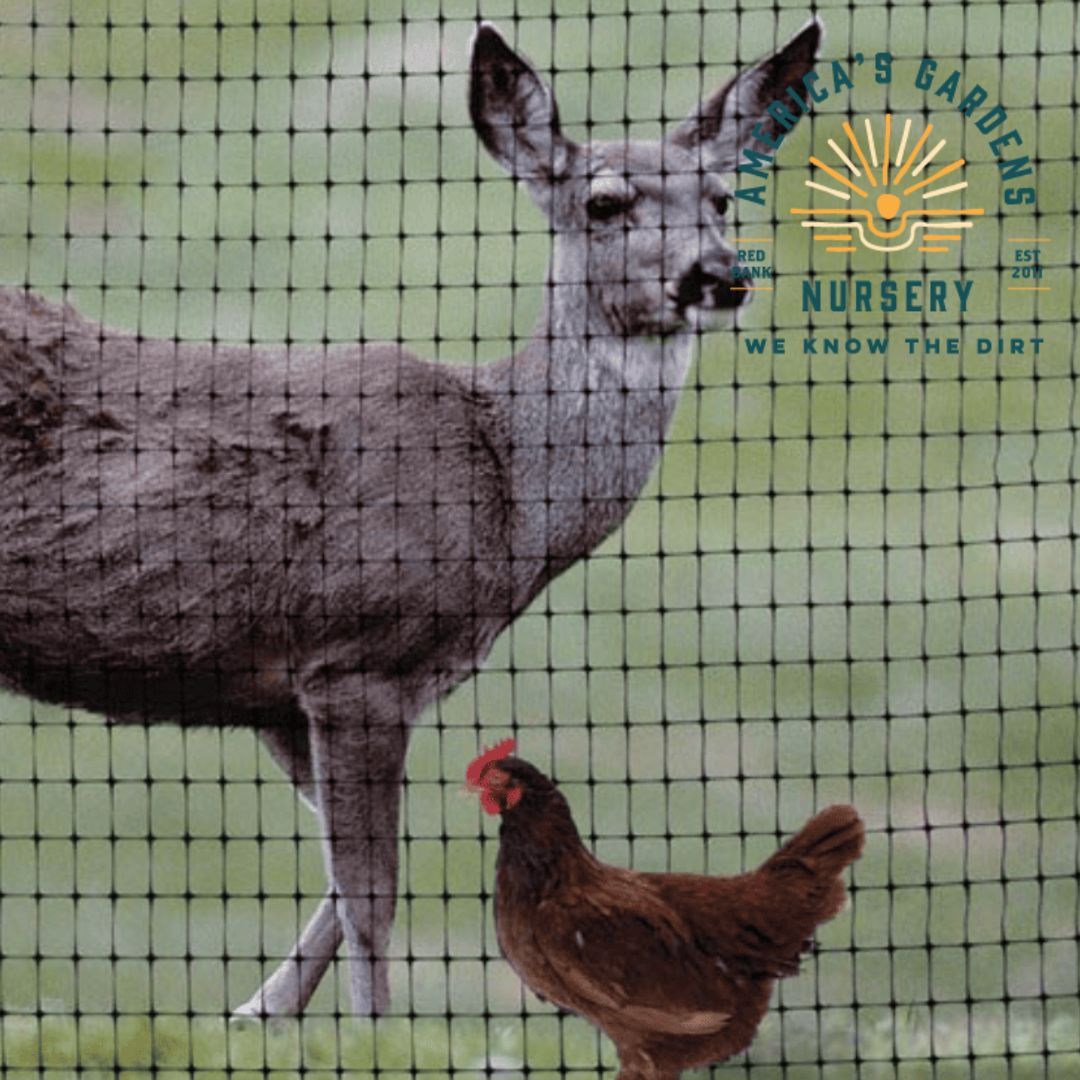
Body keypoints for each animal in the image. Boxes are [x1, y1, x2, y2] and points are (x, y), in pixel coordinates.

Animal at [0, 20, 820, 1017]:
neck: (509, 490)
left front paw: (257, 1014)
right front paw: (366, 1030)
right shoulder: (357, 654)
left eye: (721, 198)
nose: (716, 276)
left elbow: (338, 885)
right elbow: (373, 901)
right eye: (604, 202)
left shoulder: (279, 692)